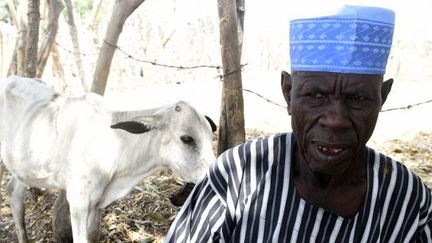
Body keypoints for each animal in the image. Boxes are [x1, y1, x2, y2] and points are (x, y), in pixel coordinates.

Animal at [0, 75, 216, 241]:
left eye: (209, 134)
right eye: (187, 138)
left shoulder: (96, 203)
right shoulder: (78, 202)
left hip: (24, 169)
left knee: (14, 192)